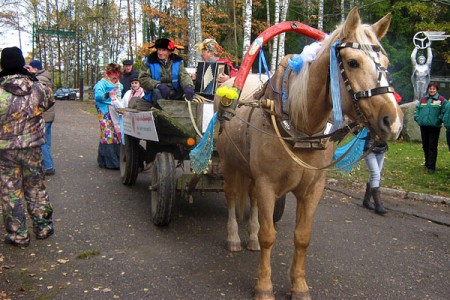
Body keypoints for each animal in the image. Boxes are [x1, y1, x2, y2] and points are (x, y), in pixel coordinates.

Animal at [214, 7, 404, 300]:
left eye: (384, 60)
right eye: (353, 62)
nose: (392, 122)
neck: (300, 126)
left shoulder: (313, 188)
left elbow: (302, 237)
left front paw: (299, 286)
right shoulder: (268, 184)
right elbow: (270, 235)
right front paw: (264, 286)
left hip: (251, 172)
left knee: (252, 201)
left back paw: (252, 239)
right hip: (229, 164)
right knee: (233, 198)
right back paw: (234, 238)